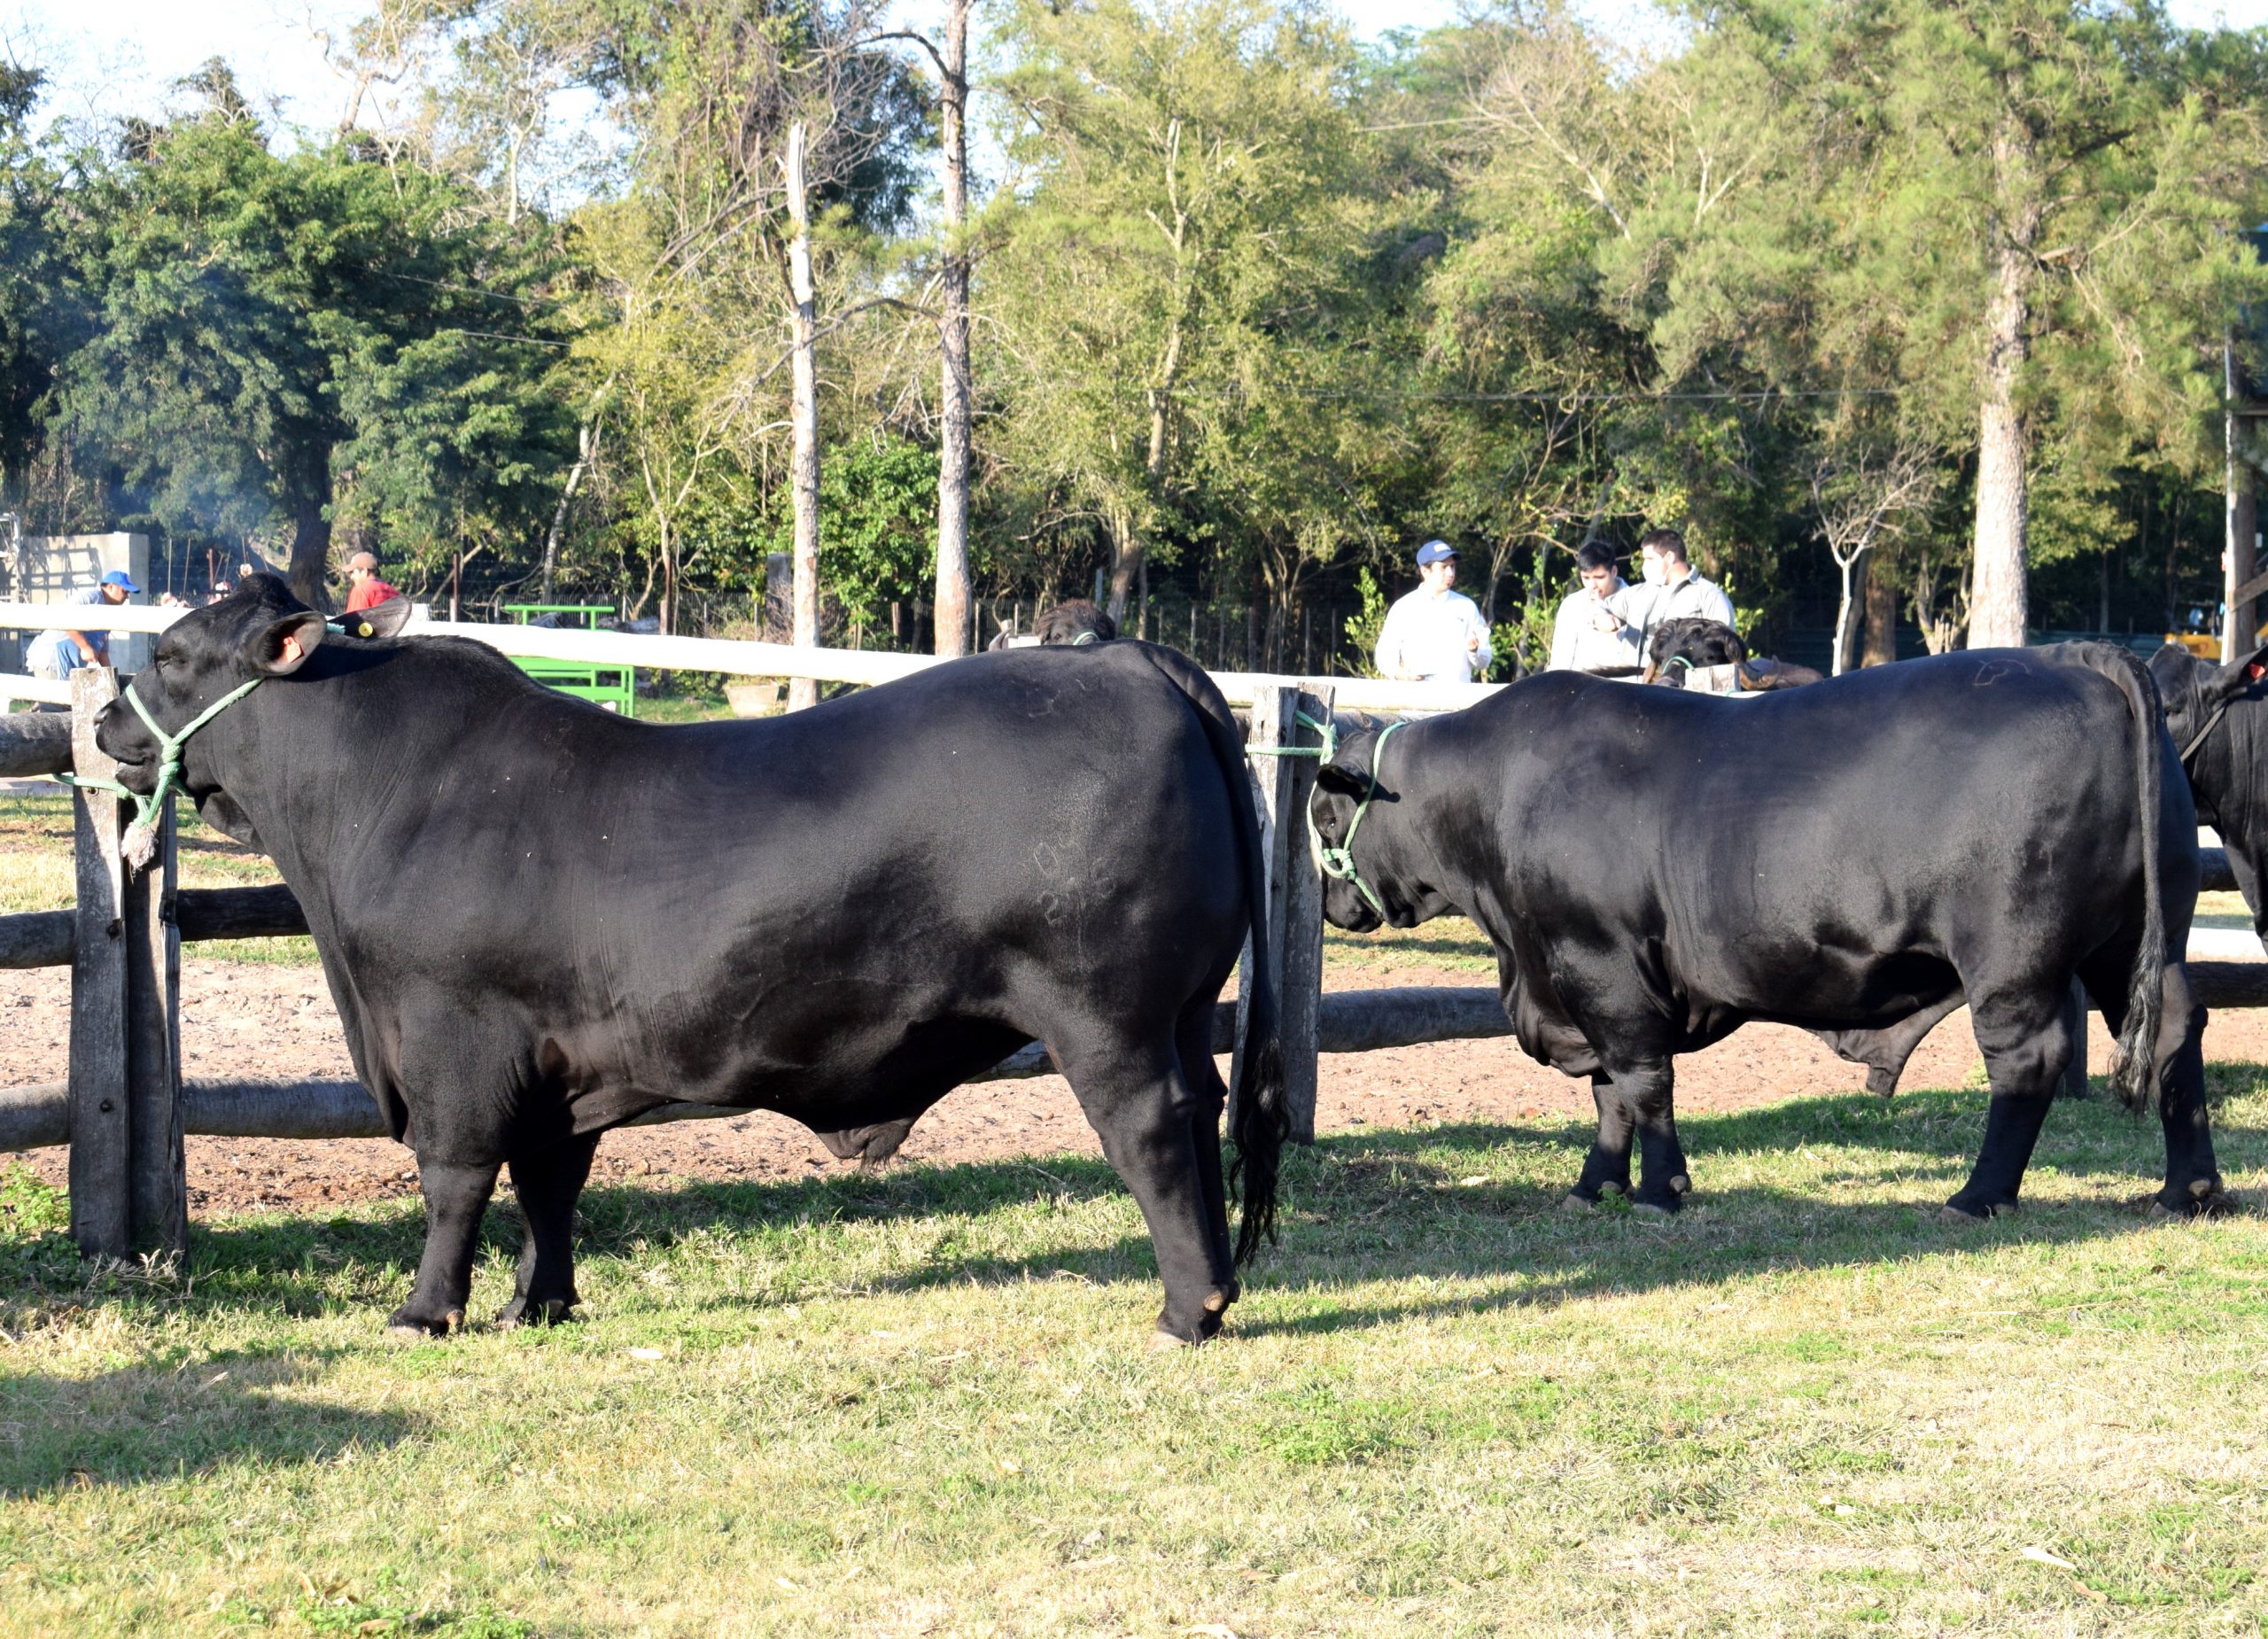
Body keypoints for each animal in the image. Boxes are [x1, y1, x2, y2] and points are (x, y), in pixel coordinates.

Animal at [92, 578, 1297, 1341]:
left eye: (170, 654)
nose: (105, 721)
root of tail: (1134, 660)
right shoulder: (556, 1056)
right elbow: (550, 1181)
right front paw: (540, 1302)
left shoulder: (450, 1036)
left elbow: (456, 1178)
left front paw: (427, 1309)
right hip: (1185, 1004)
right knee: (1204, 1114)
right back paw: (1222, 1284)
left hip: (1105, 1012)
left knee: (1151, 1130)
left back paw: (1186, 1309)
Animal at [1306, 639, 2222, 1215]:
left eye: (1322, 814)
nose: (1331, 906)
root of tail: (2071, 655)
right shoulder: (1575, 979)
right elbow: (1608, 1095)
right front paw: (1595, 1185)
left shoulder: (1599, 962)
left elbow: (1641, 1081)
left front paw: (1660, 1190)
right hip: (2141, 937)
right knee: (2177, 1032)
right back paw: (2190, 1192)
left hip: (2014, 955)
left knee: (2028, 1059)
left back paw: (1977, 1197)